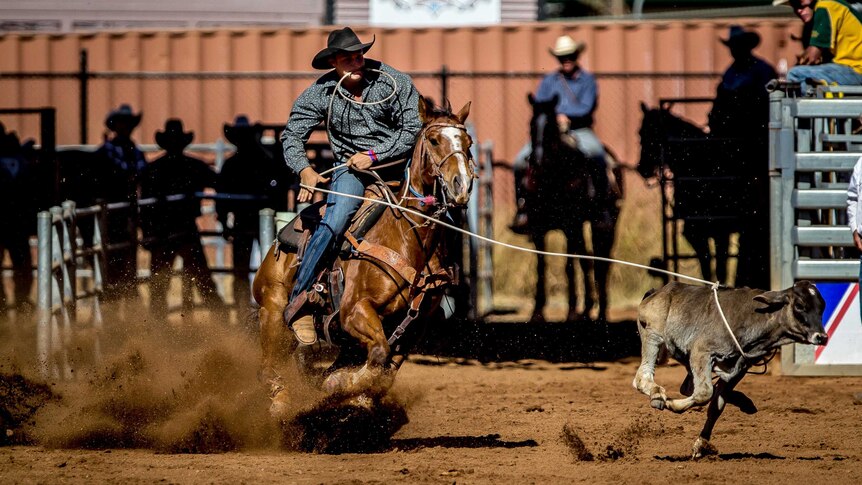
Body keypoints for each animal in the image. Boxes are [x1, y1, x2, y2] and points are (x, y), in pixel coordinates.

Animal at [520, 94, 620, 322]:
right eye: (530, 125)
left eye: (551, 127)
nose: (537, 161)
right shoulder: (538, 228)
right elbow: (541, 265)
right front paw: (537, 312)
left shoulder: (570, 225)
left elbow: (569, 265)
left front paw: (572, 311)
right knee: (588, 260)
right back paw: (588, 309)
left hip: (604, 224)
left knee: (601, 262)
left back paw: (600, 312)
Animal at [636, 101, 748, 284]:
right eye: (640, 133)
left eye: (656, 134)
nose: (642, 169)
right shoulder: (695, 234)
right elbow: (707, 269)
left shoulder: (720, 232)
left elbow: (720, 268)